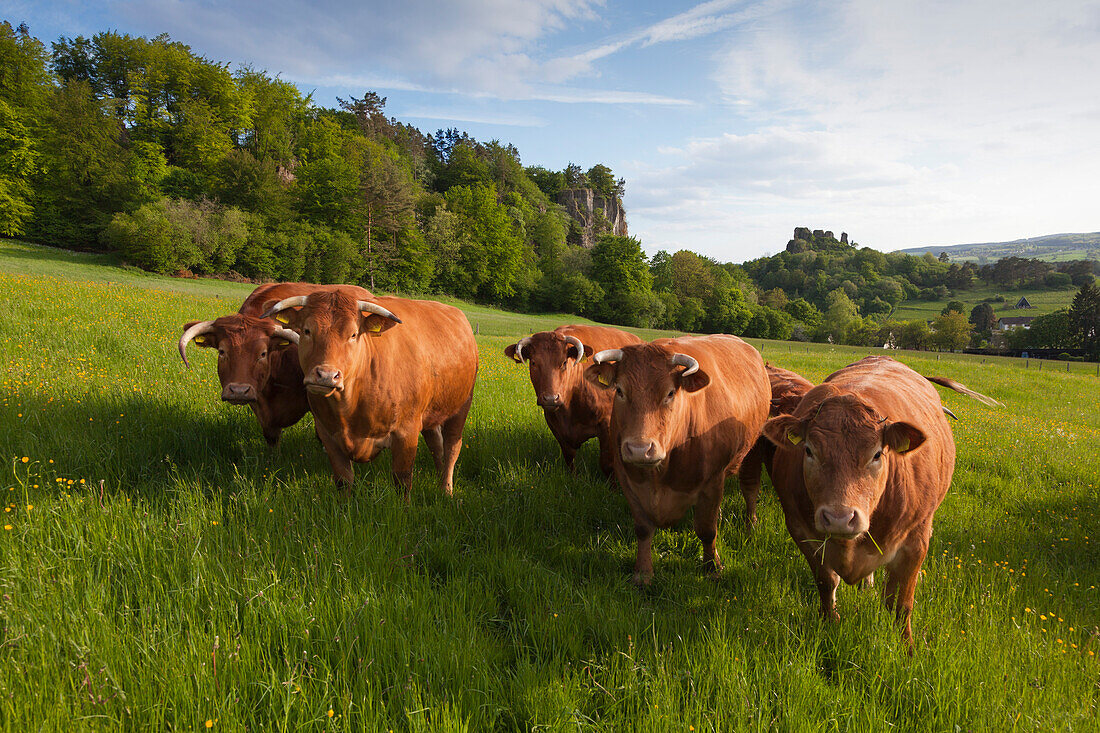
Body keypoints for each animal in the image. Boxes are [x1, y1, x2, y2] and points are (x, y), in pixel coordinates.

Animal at [264, 286, 479, 497]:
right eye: (307, 331)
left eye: (353, 334)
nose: (326, 375)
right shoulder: (328, 435)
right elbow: (343, 480)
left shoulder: (406, 432)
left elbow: (402, 480)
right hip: (431, 413)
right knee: (436, 444)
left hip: (461, 407)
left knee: (451, 447)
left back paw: (446, 489)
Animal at [506, 323, 642, 473]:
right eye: (534, 363)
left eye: (564, 362)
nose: (550, 398)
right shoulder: (556, 427)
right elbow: (569, 459)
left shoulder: (607, 426)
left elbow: (607, 464)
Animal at [761, 356, 1003, 642]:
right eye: (808, 450)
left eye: (877, 454)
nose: (840, 519)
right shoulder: (802, 532)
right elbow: (826, 582)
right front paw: (830, 622)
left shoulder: (915, 541)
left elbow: (901, 604)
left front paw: (907, 646)